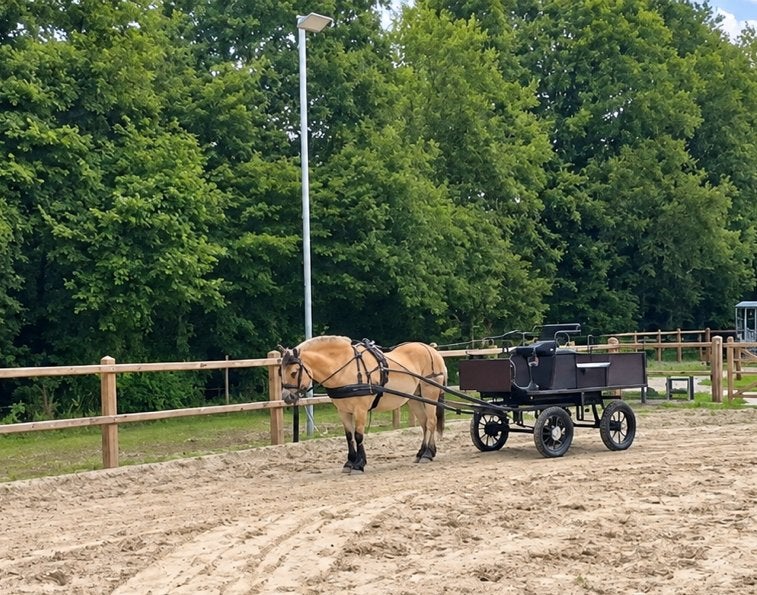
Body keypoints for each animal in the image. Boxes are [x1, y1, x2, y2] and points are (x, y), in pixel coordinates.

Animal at [278, 335, 448, 474]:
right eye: (280, 372)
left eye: (293, 372)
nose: (287, 397)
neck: (345, 368)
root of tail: (432, 350)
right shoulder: (343, 410)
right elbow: (349, 436)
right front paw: (349, 463)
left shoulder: (360, 409)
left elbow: (358, 435)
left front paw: (359, 464)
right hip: (415, 398)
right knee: (424, 424)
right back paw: (423, 452)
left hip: (430, 393)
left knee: (431, 422)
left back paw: (427, 454)